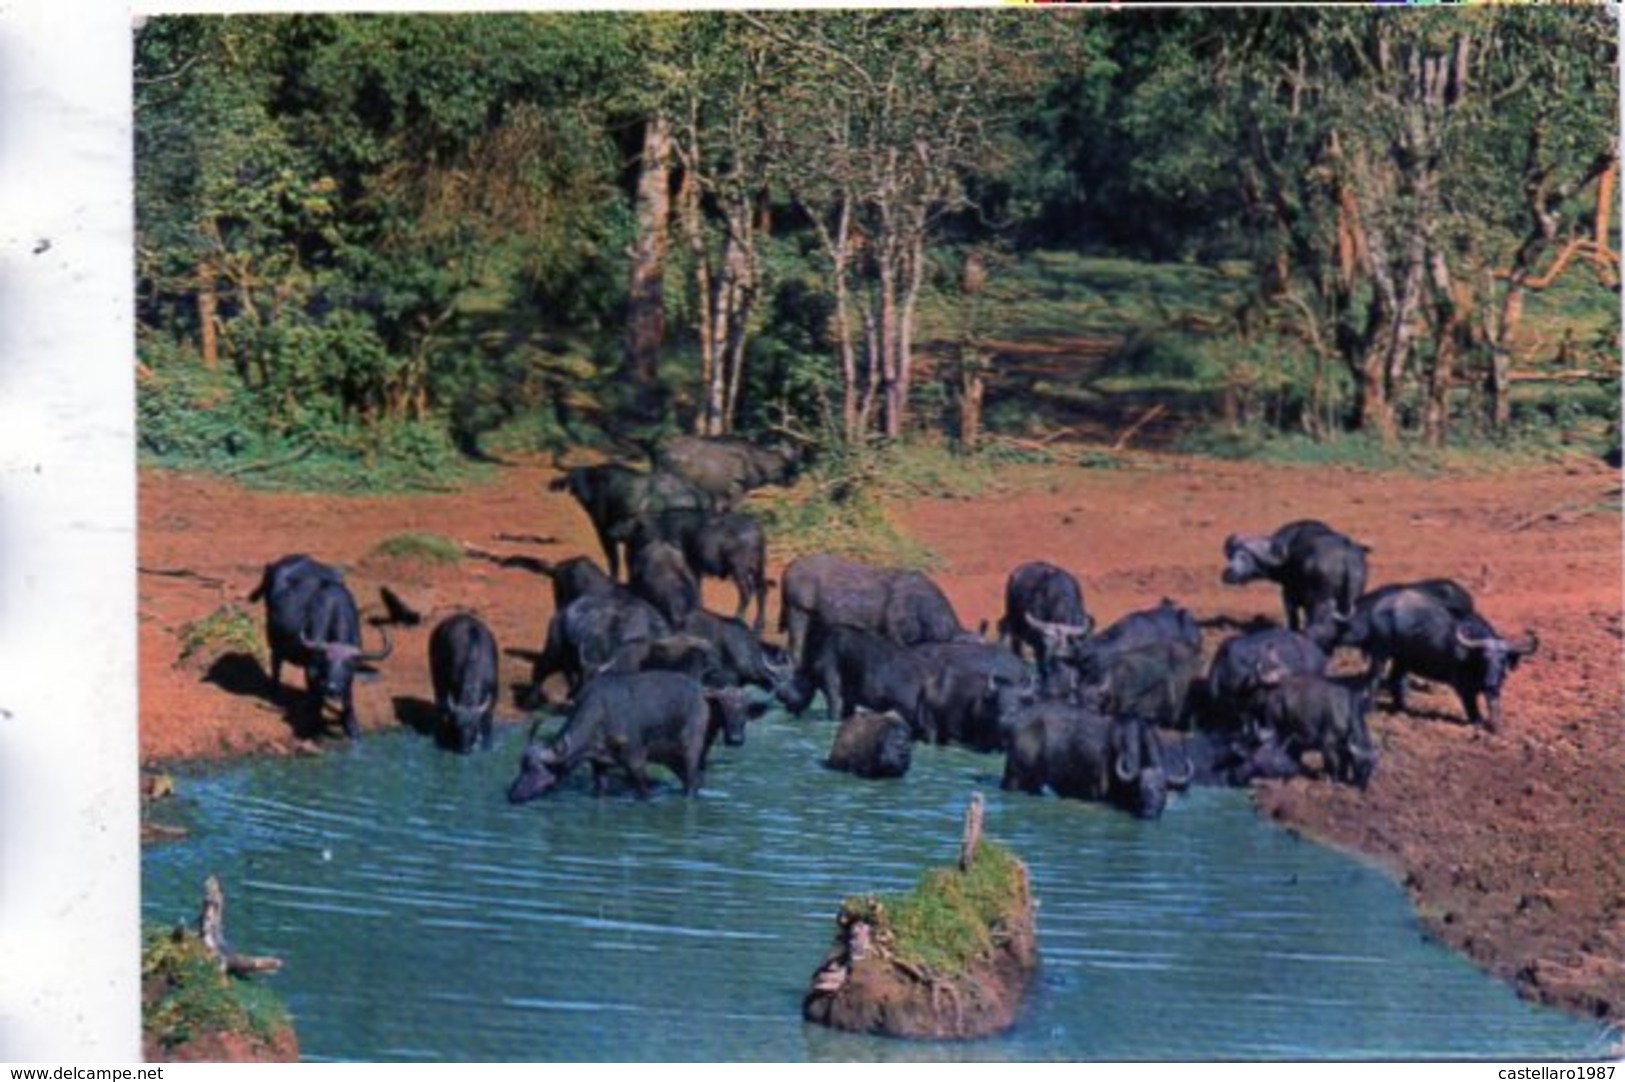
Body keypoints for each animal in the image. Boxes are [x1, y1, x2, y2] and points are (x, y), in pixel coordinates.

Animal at [432, 610, 500, 753]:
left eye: (474, 726)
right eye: (458, 726)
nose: (464, 749)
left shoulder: (494, 692)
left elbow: (488, 716)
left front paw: (487, 742)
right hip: (436, 676)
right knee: (440, 702)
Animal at [1222, 516, 1371, 627]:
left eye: (1245, 557)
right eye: (1231, 555)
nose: (1227, 574)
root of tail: (1345, 556)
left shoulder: (1288, 595)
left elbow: (1293, 621)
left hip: (1320, 603)